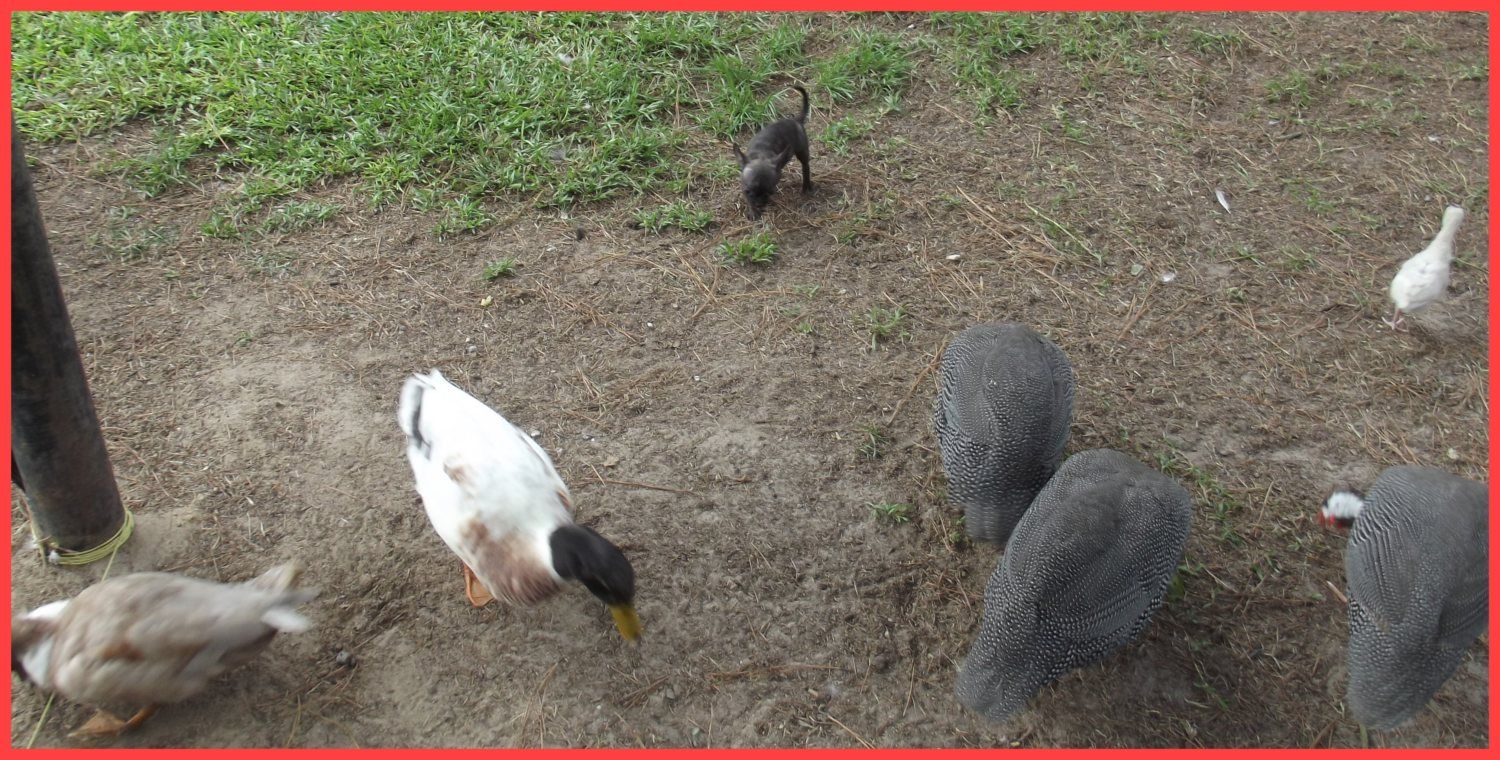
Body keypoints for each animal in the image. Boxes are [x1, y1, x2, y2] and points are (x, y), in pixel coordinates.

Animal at [733, 85, 812, 220]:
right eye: (749, 192)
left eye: (770, 192)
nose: (760, 204)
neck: (761, 155)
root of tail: (796, 120)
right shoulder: (744, 186)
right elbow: (748, 201)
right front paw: (753, 211)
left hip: (802, 151)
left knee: (805, 166)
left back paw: (806, 186)